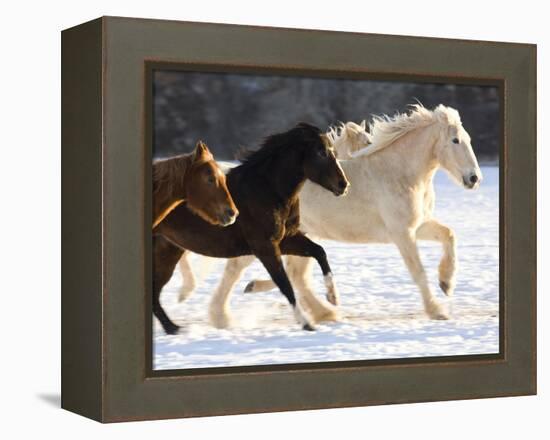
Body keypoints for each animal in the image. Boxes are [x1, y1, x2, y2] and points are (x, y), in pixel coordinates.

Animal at [153, 122, 350, 336]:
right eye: (321, 152)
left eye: (333, 151)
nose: (344, 185)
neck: (268, 190)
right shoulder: (265, 247)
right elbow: (285, 284)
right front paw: (307, 322)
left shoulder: (286, 239)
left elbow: (319, 252)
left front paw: (333, 297)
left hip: (168, 253)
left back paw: (173, 328)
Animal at [181, 105, 484, 328]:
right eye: (455, 140)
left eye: (469, 140)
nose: (474, 179)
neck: (399, 173)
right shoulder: (402, 233)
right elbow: (418, 271)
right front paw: (437, 310)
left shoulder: (417, 226)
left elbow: (449, 235)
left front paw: (447, 283)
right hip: (267, 239)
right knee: (239, 269)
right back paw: (222, 317)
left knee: (296, 276)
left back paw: (323, 312)